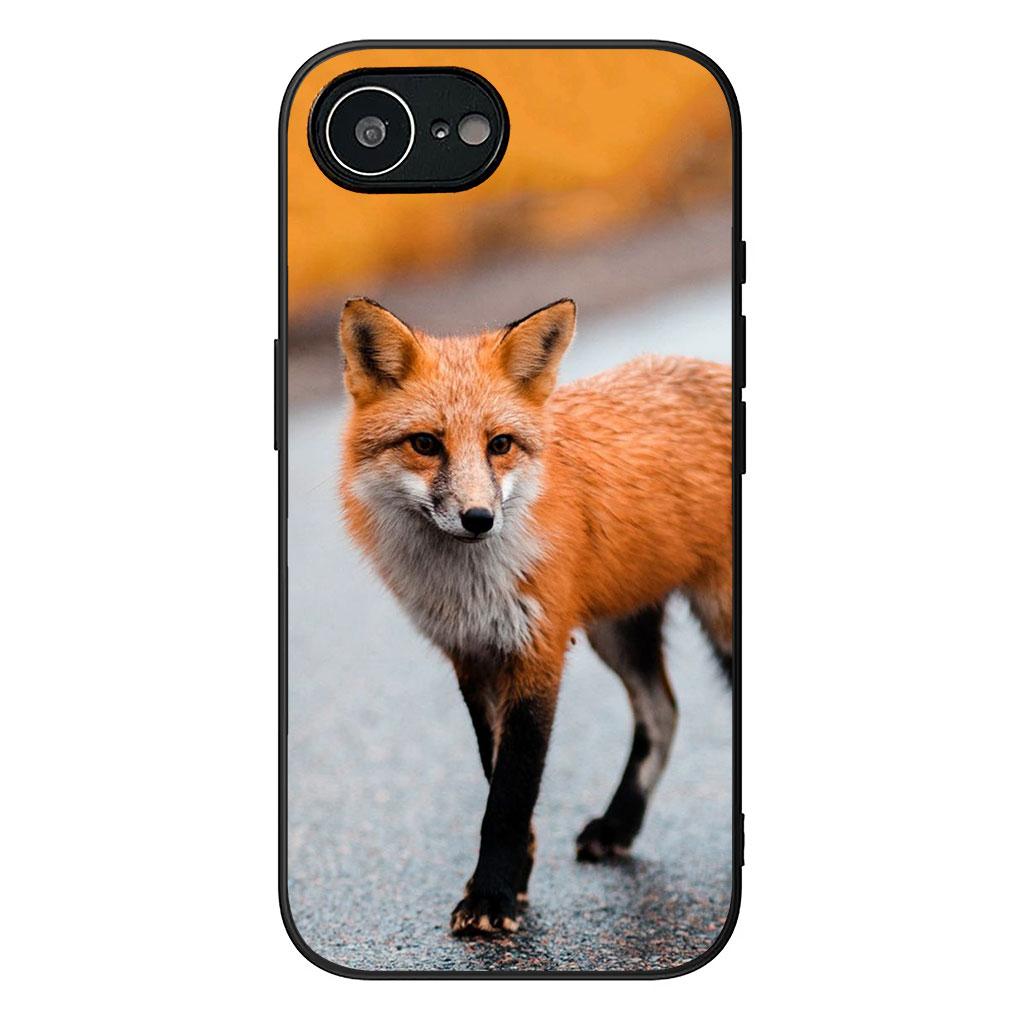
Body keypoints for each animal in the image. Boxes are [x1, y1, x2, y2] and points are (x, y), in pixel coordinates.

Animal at [338, 296, 732, 937]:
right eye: (425, 444)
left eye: (499, 445)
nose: (478, 519)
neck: (470, 586)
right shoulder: (472, 655)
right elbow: (494, 774)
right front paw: (513, 881)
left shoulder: (538, 649)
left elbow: (511, 791)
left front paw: (492, 896)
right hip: (615, 631)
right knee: (664, 712)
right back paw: (620, 825)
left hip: (717, 621)